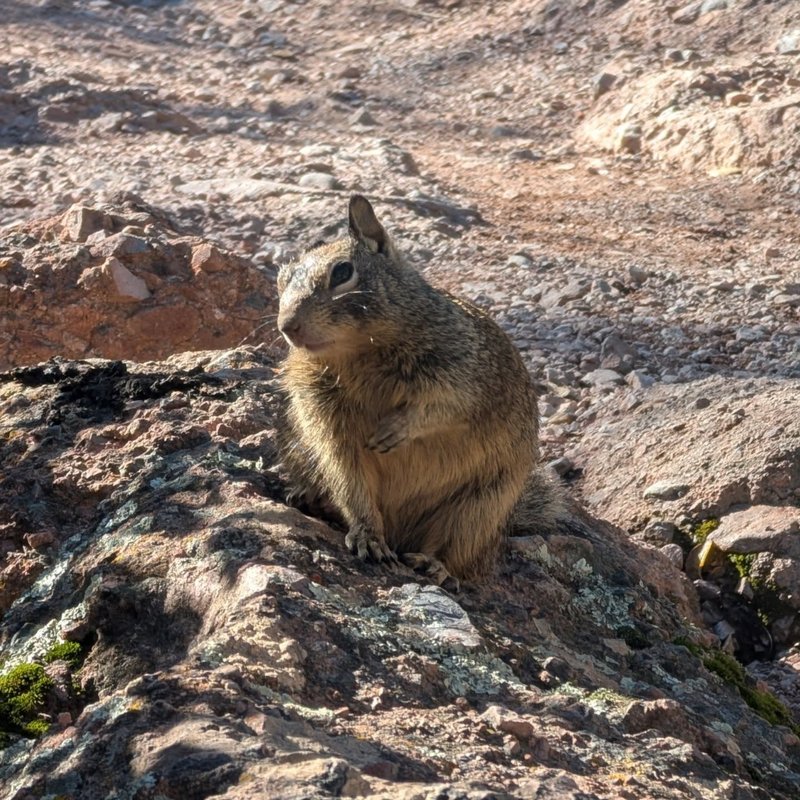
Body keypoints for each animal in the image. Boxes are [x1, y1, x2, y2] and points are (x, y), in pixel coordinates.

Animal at [276, 195, 558, 589]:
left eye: (342, 272)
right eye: (280, 280)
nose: (287, 326)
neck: (358, 353)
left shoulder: (464, 373)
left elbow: (443, 408)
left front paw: (396, 429)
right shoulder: (322, 412)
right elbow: (348, 476)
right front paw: (367, 535)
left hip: (479, 507)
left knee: (457, 555)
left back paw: (432, 564)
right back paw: (313, 500)